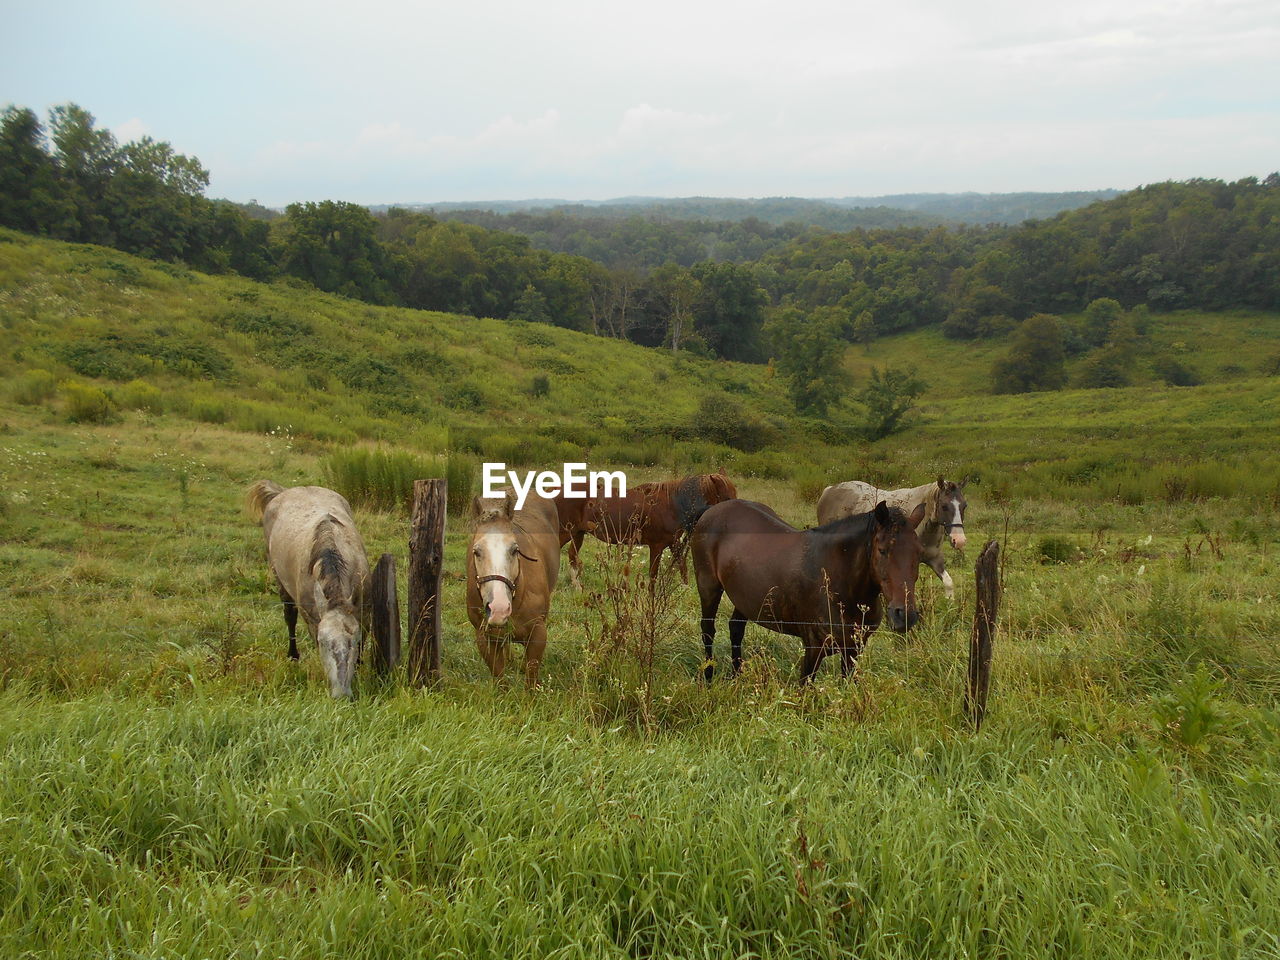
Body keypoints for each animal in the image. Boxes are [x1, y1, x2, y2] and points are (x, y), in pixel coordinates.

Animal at [247, 481, 371, 701]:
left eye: (353, 642)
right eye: (323, 643)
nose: (341, 695)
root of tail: (285, 491)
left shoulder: (364, 615)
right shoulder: (312, 620)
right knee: (289, 617)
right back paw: (293, 655)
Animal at [463, 491, 558, 686]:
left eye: (515, 550)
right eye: (476, 551)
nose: (498, 608)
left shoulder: (538, 634)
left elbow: (531, 678)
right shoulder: (484, 638)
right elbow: (499, 678)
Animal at [576, 471, 737, 583]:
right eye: (727, 498)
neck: (672, 506)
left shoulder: (674, 543)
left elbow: (682, 568)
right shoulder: (657, 546)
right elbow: (653, 575)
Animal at [696, 496, 926, 686]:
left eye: (919, 553)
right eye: (882, 550)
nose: (904, 615)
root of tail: (713, 510)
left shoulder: (853, 649)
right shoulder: (814, 648)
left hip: (745, 598)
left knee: (736, 629)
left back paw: (737, 676)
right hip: (708, 587)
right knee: (708, 630)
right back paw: (708, 676)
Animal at [814, 478, 962, 599]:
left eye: (964, 505)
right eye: (944, 506)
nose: (959, 540)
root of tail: (829, 490)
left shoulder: (934, 559)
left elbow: (948, 583)